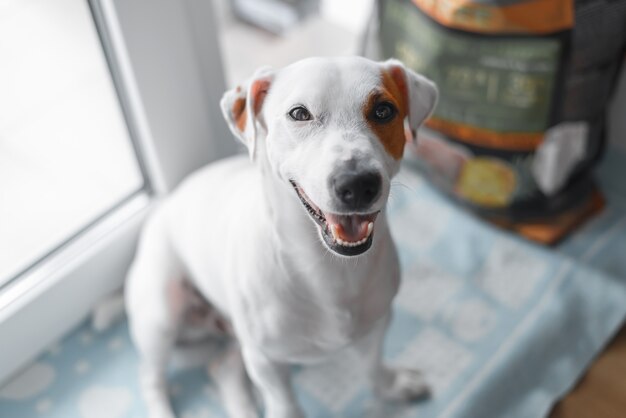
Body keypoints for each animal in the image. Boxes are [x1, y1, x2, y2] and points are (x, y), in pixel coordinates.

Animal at [124, 56, 436, 418]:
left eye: (384, 110)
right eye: (299, 113)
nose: (358, 183)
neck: (328, 270)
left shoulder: (377, 324)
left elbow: (372, 367)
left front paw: (391, 386)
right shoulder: (265, 361)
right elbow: (285, 405)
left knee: (224, 369)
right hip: (161, 316)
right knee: (151, 378)